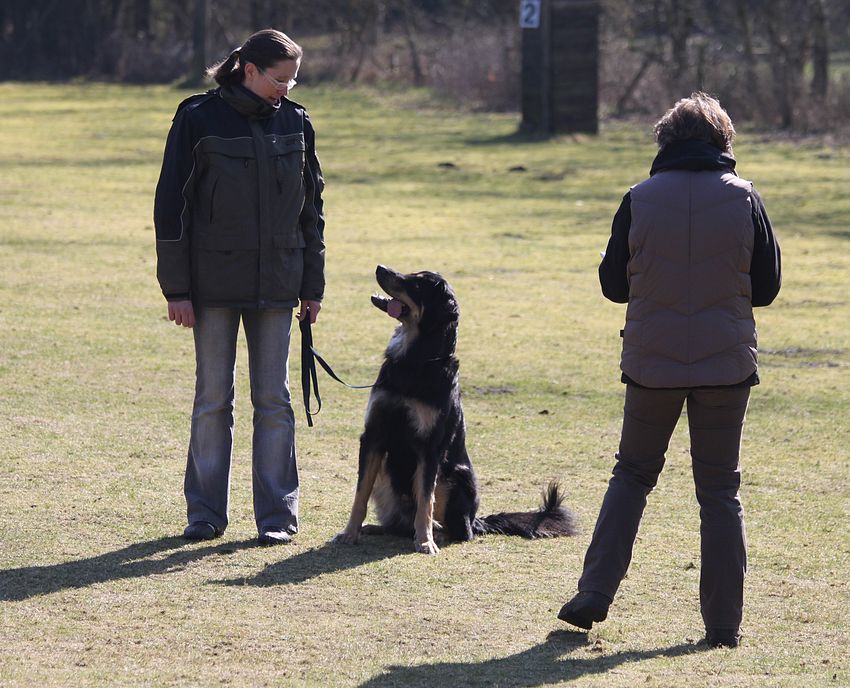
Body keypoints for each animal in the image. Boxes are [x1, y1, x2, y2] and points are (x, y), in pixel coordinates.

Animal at [333, 265, 577, 554]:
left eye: (417, 284)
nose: (380, 268)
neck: (416, 360)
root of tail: (477, 520)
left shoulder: (429, 447)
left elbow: (425, 501)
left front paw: (425, 540)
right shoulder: (373, 436)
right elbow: (360, 494)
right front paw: (350, 532)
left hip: (456, 477)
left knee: (461, 531)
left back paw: (436, 531)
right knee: (400, 524)